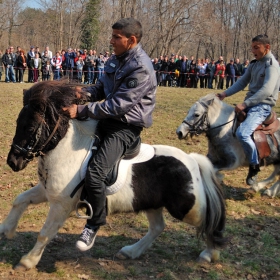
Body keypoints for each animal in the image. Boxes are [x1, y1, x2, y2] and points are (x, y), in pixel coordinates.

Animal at [1, 81, 225, 270]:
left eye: (30, 126)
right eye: (17, 122)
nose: (13, 161)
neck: (66, 152)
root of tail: (191, 160)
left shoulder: (62, 205)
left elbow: (45, 233)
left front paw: (27, 261)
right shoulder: (47, 192)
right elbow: (19, 200)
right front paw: (6, 230)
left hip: (186, 210)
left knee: (210, 221)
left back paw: (209, 254)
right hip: (153, 205)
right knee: (158, 227)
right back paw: (130, 252)